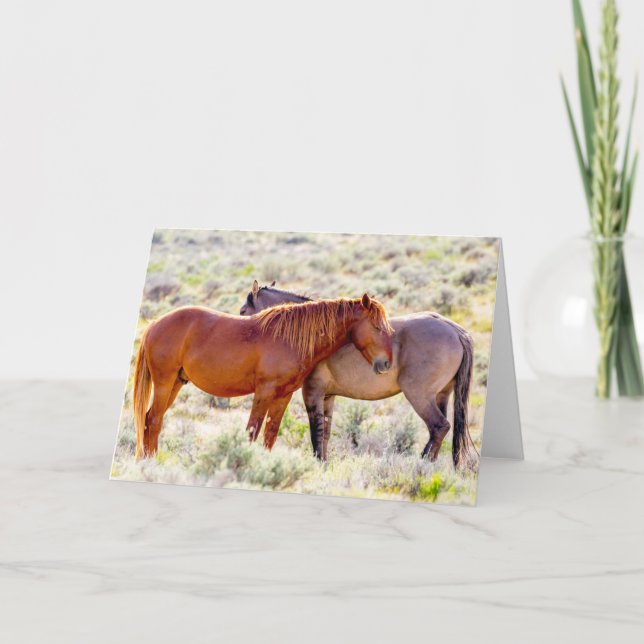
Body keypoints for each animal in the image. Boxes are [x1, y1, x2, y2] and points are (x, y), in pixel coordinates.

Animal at [132, 294, 393, 459]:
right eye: (377, 327)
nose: (386, 364)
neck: (289, 338)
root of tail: (154, 324)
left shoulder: (283, 396)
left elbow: (270, 433)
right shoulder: (264, 392)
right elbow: (252, 431)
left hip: (176, 383)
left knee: (149, 419)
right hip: (164, 383)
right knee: (153, 420)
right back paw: (150, 462)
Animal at [240, 281, 476, 468]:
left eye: (243, 312)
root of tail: (455, 330)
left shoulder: (312, 392)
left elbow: (316, 433)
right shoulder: (328, 396)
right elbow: (325, 433)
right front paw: (324, 465)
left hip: (419, 395)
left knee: (439, 427)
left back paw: (421, 465)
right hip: (441, 396)